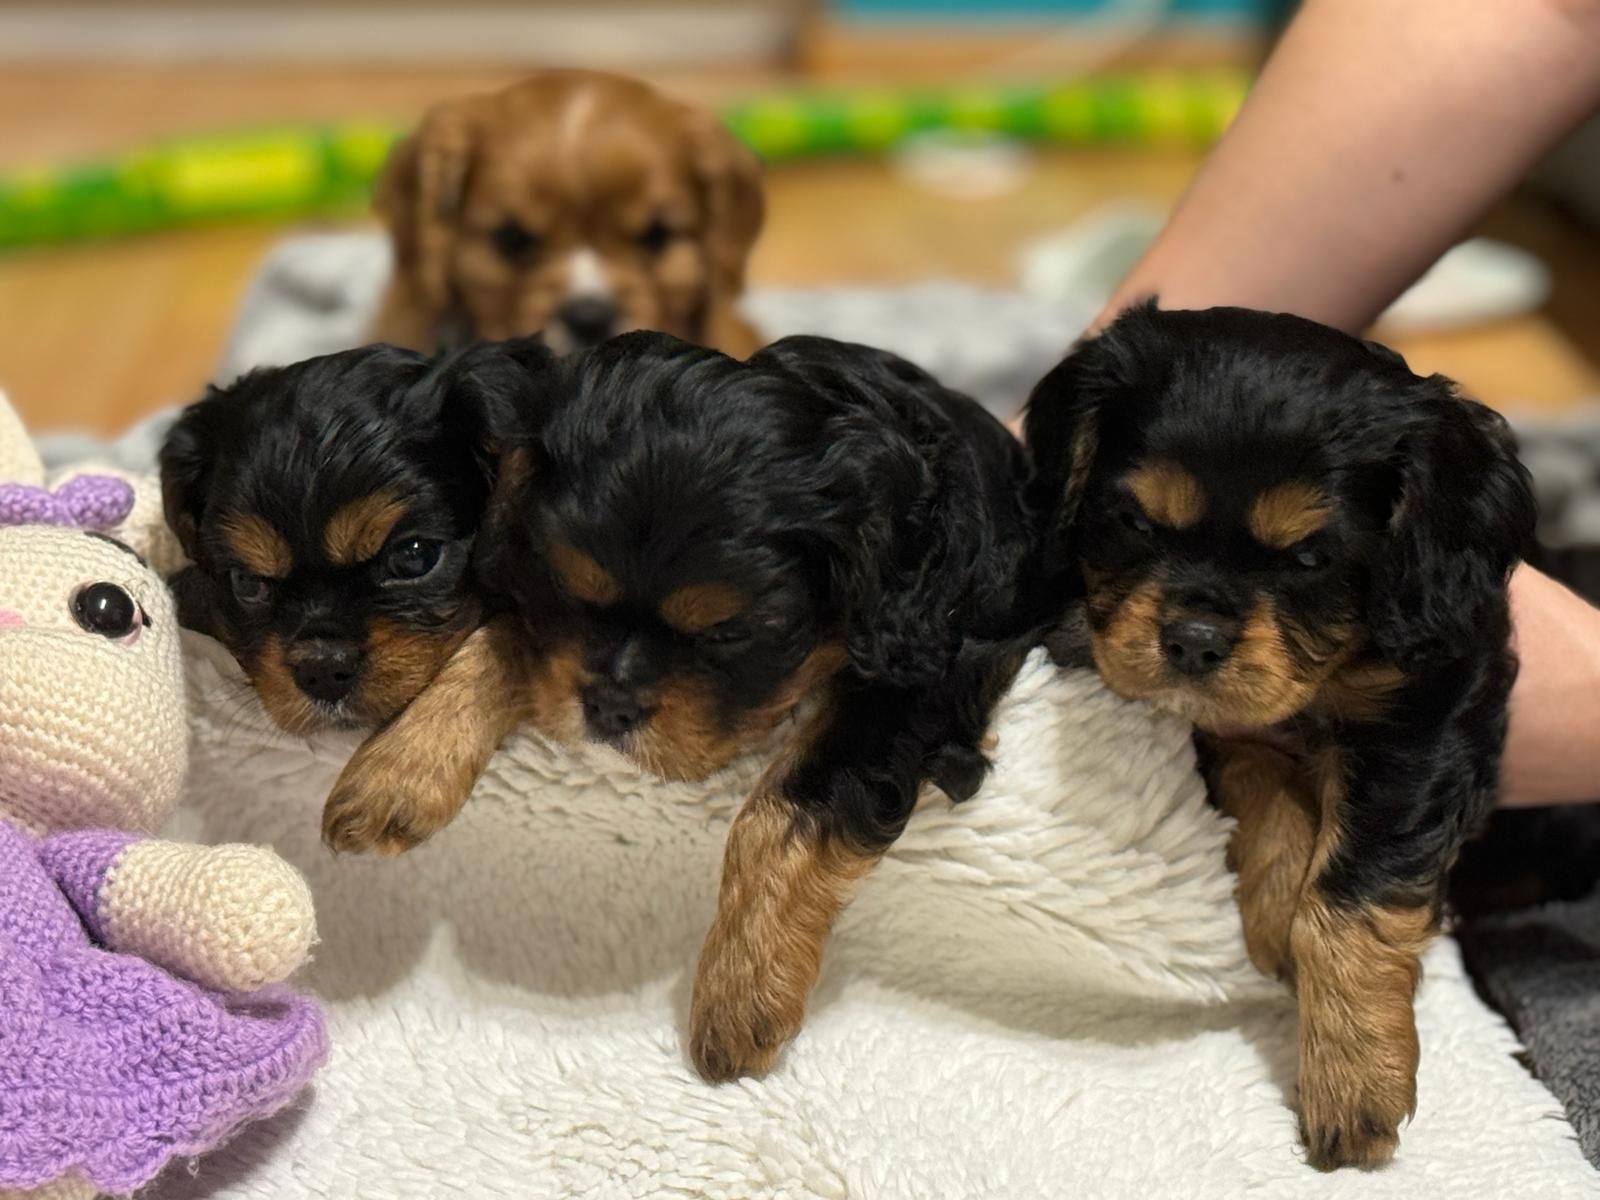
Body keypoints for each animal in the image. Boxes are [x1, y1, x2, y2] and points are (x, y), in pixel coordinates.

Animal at [326, 329, 1049, 1081]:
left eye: (728, 634)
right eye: (567, 588)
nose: (611, 708)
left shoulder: (921, 676)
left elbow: (789, 805)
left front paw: (743, 986)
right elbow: (508, 639)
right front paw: (399, 770)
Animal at [1024, 302, 1536, 1177]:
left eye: (1308, 557)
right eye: (1133, 523)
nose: (1192, 641)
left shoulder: (1430, 707)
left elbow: (1352, 892)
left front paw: (1355, 1078)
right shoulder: (1218, 719)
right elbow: (1260, 792)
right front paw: (1275, 917)